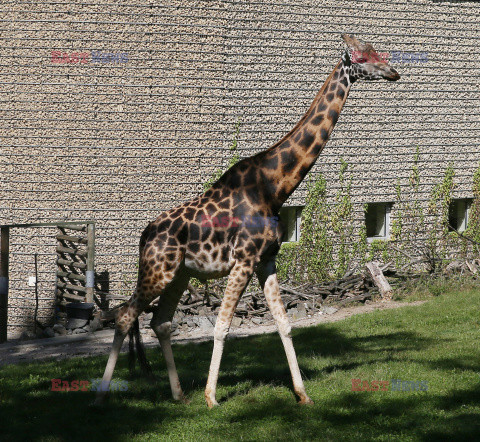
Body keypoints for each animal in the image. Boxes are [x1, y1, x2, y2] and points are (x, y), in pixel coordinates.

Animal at [95, 33, 400, 408]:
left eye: (375, 49)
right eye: (361, 56)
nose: (393, 71)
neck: (275, 186)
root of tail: (144, 236)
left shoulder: (266, 259)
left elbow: (284, 323)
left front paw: (303, 395)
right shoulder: (243, 259)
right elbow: (222, 325)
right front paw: (212, 398)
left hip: (180, 274)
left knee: (161, 322)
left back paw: (179, 395)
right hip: (158, 270)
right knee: (125, 315)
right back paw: (103, 396)